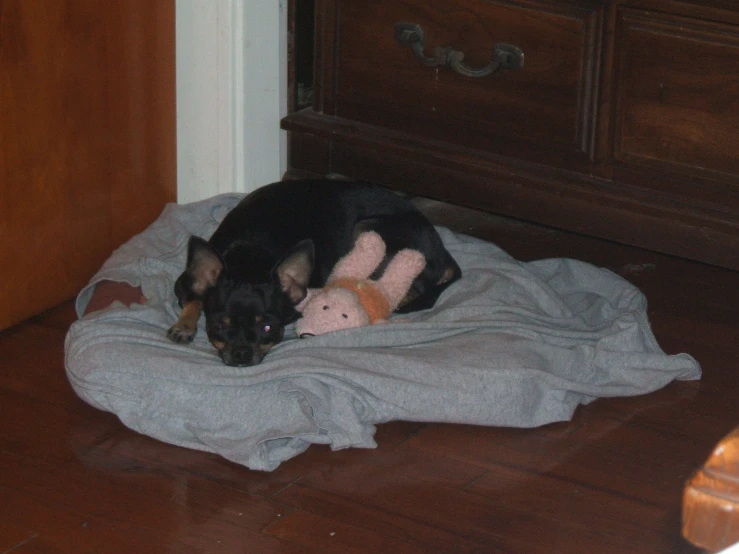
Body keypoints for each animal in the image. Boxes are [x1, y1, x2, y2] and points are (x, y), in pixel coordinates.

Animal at [168, 179, 460, 364]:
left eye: (268, 327)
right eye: (218, 325)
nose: (241, 353)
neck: (250, 253)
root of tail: (443, 251)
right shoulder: (185, 282)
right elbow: (194, 298)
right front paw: (184, 324)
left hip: (369, 228)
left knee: (413, 287)